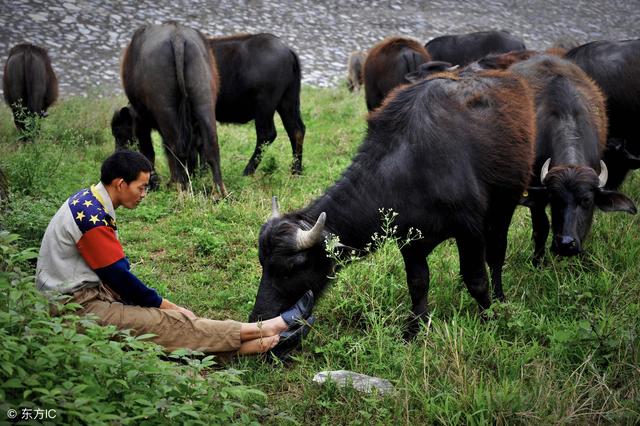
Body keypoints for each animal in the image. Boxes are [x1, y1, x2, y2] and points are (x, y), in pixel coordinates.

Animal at [111, 22, 226, 195]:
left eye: (119, 133)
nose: (117, 153)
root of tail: (177, 37)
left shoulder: (140, 119)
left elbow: (149, 151)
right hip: (204, 103)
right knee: (210, 147)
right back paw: (218, 193)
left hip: (166, 110)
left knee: (176, 149)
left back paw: (181, 189)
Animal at [206, 31, 304, 175]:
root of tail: (288, 51)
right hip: (288, 102)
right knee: (296, 131)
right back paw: (295, 172)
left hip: (264, 106)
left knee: (267, 134)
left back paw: (247, 172)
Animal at [249, 68, 536, 338]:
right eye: (263, 263)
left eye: (293, 267)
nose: (258, 318)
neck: (411, 166)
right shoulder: (410, 241)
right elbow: (418, 283)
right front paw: (414, 329)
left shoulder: (470, 231)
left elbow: (477, 280)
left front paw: (489, 318)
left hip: (504, 205)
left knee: (496, 255)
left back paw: (500, 298)